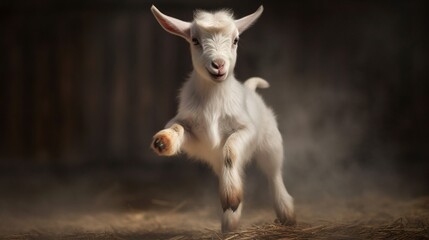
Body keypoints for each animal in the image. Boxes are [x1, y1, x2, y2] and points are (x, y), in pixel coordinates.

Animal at [150, 4, 294, 232]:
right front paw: (163, 141)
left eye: (235, 40)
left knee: (273, 173)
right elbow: (177, 128)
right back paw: (231, 218)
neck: (214, 100)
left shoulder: (246, 129)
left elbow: (230, 150)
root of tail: (250, 88)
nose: (218, 65)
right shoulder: (194, 134)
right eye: (195, 40)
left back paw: (285, 213)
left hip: (271, 143)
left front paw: (230, 197)